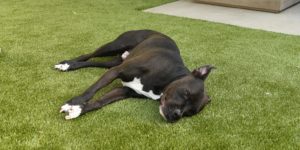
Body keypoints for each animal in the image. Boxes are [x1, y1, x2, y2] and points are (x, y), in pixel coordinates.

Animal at [55, 29, 216, 122]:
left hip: (112, 62)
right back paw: (67, 64)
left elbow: (100, 102)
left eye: (190, 113)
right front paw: (74, 102)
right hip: (114, 46)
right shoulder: (117, 71)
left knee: (93, 62)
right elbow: (92, 90)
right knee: (88, 55)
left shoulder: (124, 90)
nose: (176, 115)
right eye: (186, 93)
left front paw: (78, 110)